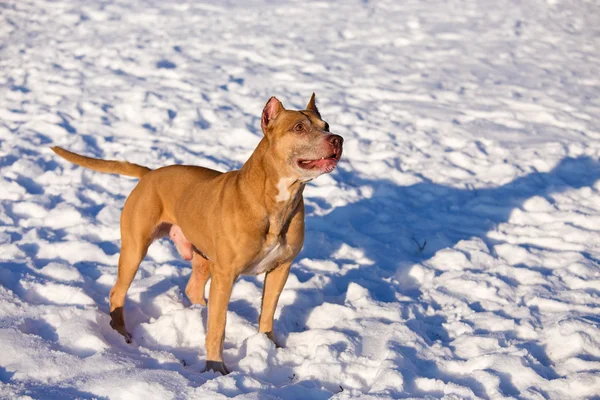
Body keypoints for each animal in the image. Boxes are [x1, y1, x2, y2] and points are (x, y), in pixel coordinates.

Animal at [52, 94, 342, 376]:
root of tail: (150, 174)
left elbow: (267, 312)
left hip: (203, 257)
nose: (337, 139)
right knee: (118, 292)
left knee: (194, 289)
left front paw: (268, 346)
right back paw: (121, 331)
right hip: (135, 250)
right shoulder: (226, 275)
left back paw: (198, 309)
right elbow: (218, 326)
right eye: (299, 127)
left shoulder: (281, 269)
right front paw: (215, 367)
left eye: (326, 125)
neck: (277, 200)